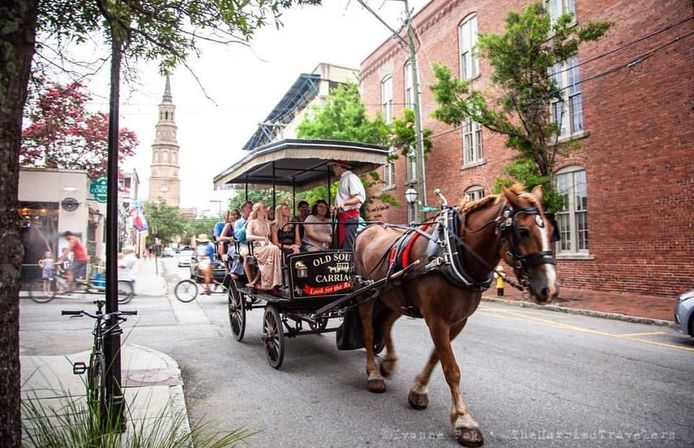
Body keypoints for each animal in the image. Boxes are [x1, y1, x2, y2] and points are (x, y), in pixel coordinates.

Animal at [354, 184, 560, 446]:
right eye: (522, 231)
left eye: (552, 230)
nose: (549, 289)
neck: (454, 254)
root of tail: (368, 228)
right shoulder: (437, 319)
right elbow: (452, 369)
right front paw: (464, 420)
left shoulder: (458, 320)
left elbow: (436, 357)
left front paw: (419, 390)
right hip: (366, 293)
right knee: (368, 331)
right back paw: (373, 374)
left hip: (394, 297)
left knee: (387, 324)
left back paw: (388, 363)